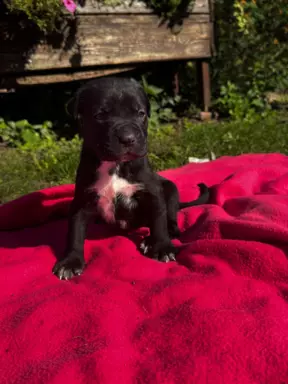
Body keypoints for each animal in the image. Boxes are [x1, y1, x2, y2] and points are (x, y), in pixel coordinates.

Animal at [52, 76, 209, 280]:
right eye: (100, 115)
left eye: (141, 113)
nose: (128, 138)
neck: (116, 165)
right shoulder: (82, 200)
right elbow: (75, 231)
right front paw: (70, 261)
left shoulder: (153, 192)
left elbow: (159, 220)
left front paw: (162, 247)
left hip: (170, 189)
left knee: (171, 218)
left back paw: (157, 237)